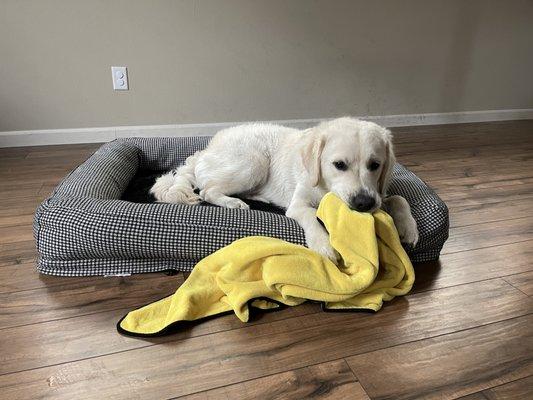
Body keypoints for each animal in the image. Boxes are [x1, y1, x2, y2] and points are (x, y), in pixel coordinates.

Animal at [149, 117, 416, 260]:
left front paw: (409, 228)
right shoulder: (299, 204)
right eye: (339, 165)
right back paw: (233, 202)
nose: (363, 204)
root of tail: (203, 150)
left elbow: (399, 199)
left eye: (375, 165)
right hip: (254, 161)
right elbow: (311, 216)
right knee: (207, 191)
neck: (325, 187)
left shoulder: (378, 194)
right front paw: (323, 245)